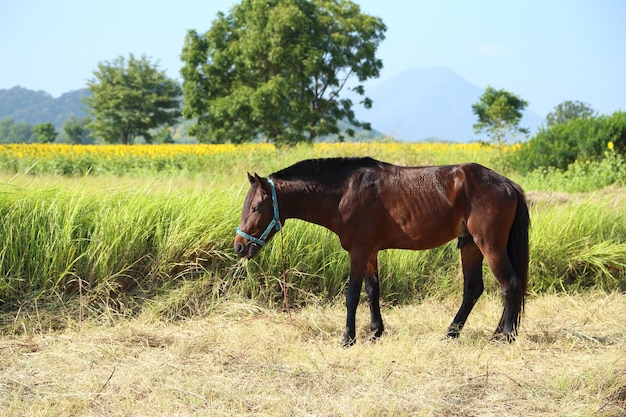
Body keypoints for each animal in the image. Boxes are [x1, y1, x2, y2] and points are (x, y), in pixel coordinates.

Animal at [233, 156, 528, 344]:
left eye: (256, 207)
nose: (239, 246)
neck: (344, 193)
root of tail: (508, 184)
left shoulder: (358, 251)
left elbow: (352, 295)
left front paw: (348, 338)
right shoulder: (370, 253)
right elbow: (373, 291)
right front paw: (375, 332)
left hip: (489, 245)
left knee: (510, 284)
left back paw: (506, 336)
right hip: (469, 245)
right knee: (474, 289)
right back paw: (456, 333)